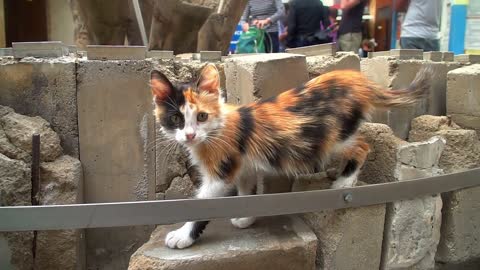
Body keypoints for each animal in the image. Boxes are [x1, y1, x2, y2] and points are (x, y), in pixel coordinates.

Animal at [151, 63, 432, 249]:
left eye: (201, 116)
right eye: (175, 119)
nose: (189, 136)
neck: (217, 129)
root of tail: (355, 78)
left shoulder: (220, 173)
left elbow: (202, 205)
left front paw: (183, 236)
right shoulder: (244, 166)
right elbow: (246, 192)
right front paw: (245, 218)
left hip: (330, 139)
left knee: (362, 146)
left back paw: (344, 183)